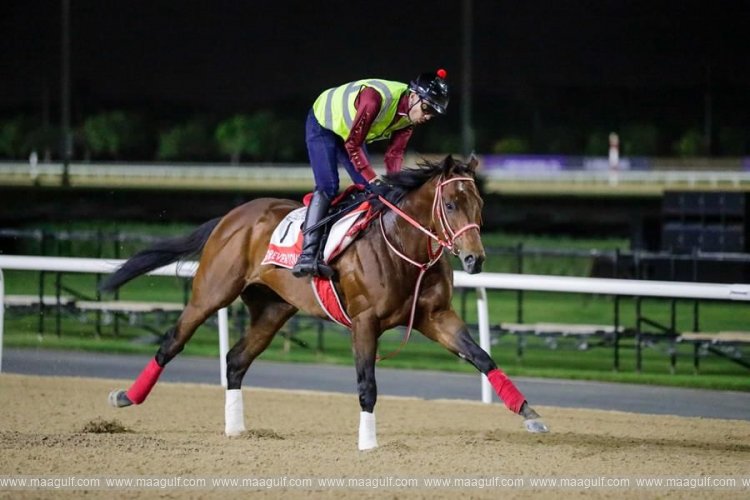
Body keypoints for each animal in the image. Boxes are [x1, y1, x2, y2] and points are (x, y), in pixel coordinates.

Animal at [102, 155, 549, 450]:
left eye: (479, 205)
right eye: (451, 204)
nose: (475, 259)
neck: (404, 246)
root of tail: (231, 217)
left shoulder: (435, 316)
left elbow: (482, 357)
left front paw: (529, 413)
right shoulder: (365, 321)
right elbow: (367, 384)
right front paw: (367, 443)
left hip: (273, 309)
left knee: (236, 359)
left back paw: (236, 428)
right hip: (211, 293)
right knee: (172, 342)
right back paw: (127, 396)